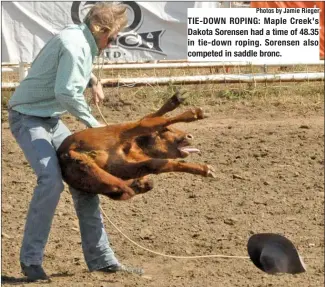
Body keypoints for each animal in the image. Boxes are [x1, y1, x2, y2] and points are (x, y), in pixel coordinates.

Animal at [57, 91, 215, 200]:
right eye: (167, 131)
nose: (189, 136)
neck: (137, 146)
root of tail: (65, 153)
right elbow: (152, 121)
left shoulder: (135, 165)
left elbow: (166, 164)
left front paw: (205, 169)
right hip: (120, 133)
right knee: (148, 122)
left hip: (98, 176)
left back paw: (139, 184)